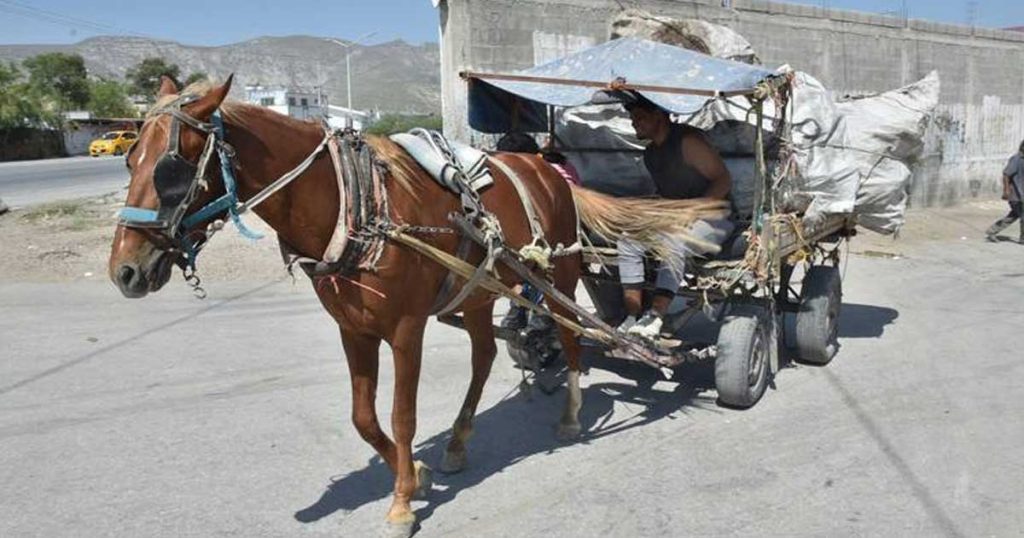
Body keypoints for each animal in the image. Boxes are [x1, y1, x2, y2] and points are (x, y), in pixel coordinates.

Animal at [110, 74, 720, 532]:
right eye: (128, 159)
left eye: (170, 170)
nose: (125, 271)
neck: (354, 204)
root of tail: (552, 170)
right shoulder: (352, 329)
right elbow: (362, 417)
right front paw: (417, 474)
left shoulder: (405, 329)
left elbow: (402, 416)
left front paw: (402, 501)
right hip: (479, 291)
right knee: (484, 356)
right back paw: (458, 441)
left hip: (562, 278)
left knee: (571, 337)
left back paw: (570, 414)